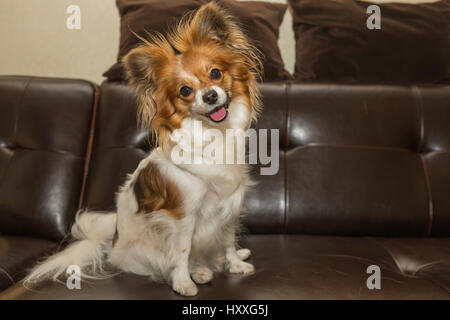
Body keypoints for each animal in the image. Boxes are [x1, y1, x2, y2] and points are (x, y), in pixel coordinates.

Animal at [24, 1, 262, 298]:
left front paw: (235, 264)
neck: (213, 133)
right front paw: (183, 282)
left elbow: (228, 240)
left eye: (215, 73)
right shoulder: (183, 216)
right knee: (170, 263)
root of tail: (111, 247)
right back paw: (198, 272)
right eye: (185, 91)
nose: (210, 96)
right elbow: (182, 252)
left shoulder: (230, 207)